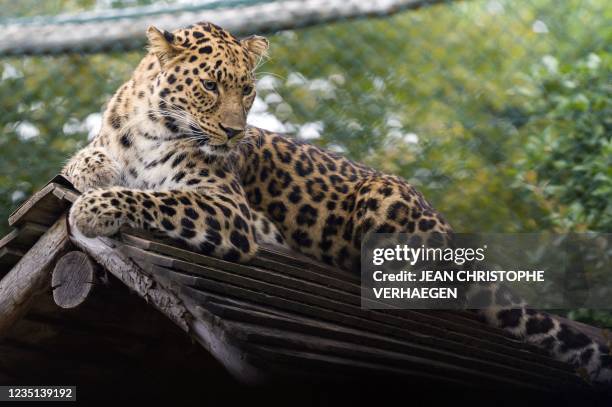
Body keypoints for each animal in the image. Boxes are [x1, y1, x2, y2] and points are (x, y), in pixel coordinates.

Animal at [63, 21, 612, 386]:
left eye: (249, 90)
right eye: (210, 85)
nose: (235, 132)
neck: (148, 127)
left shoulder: (230, 210)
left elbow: (155, 196)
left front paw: (92, 208)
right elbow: (87, 160)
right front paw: (90, 173)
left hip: (385, 197)